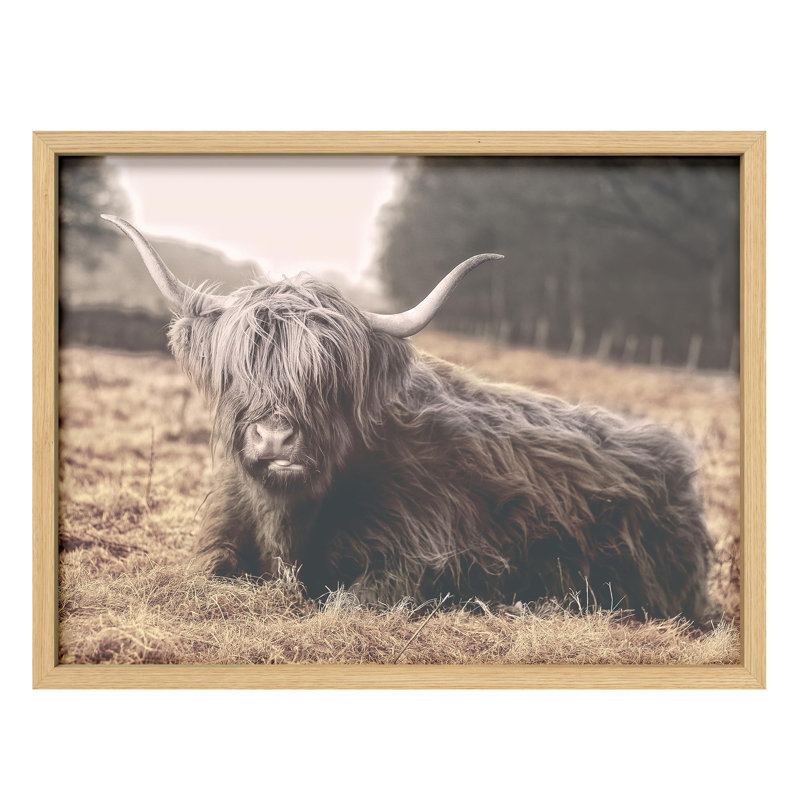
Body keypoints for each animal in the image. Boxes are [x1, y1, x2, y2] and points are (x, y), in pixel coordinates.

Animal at [102, 214, 713, 621]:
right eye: (239, 367)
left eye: (330, 375)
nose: (275, 437)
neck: (290, 521)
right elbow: (209, 574)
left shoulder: (436, 560)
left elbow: (350, 599)